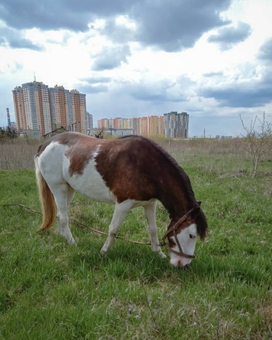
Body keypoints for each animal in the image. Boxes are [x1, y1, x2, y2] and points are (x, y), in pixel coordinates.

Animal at [34, 131, 208, 266]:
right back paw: (72, 243)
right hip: (58, 187)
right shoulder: (123, 204)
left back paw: (63, 238)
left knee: (60, 214)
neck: (145, 165)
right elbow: (113, 229)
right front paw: (103, 252)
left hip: (68, 189)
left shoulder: (149, 204)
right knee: (64, 217)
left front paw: (158, 253)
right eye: (191, 235)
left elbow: (152, 229)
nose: (183, 264)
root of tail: (45, 144)